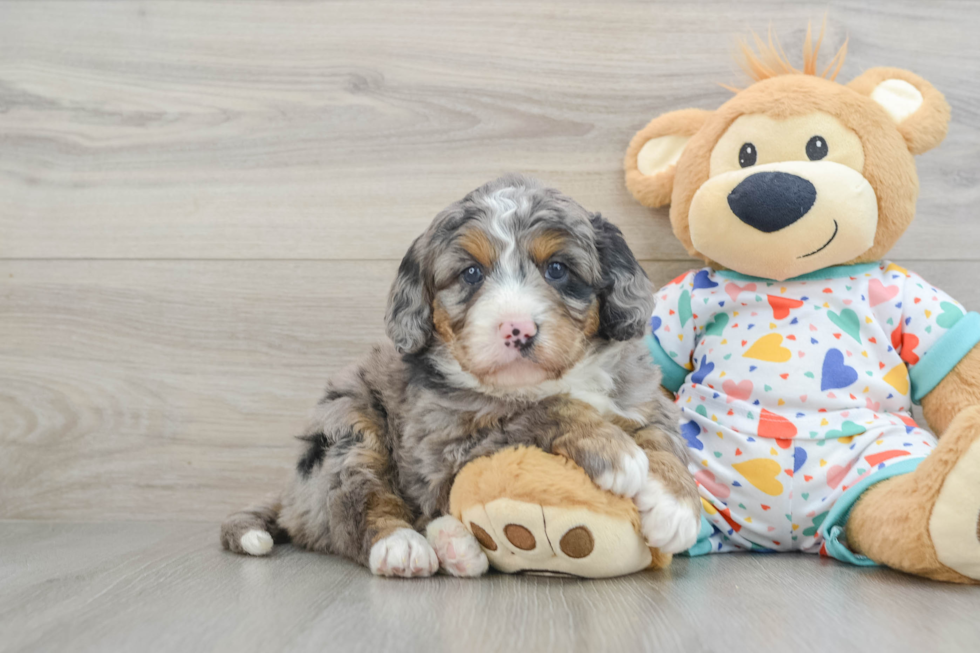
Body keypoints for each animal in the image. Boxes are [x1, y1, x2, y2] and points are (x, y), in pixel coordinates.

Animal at [222, 173, 696, 576]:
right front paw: (614, 451)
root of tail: (290, 497)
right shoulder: (445, 440)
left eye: (558, 269)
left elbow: (662, 434)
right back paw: (407, 546)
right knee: (355, 503)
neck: (539, 380)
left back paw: (455, 547)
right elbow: (536, 410)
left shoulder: (641, 393)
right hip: (346, 430)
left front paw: (675, 506)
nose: (517, 328)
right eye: (471, 273)